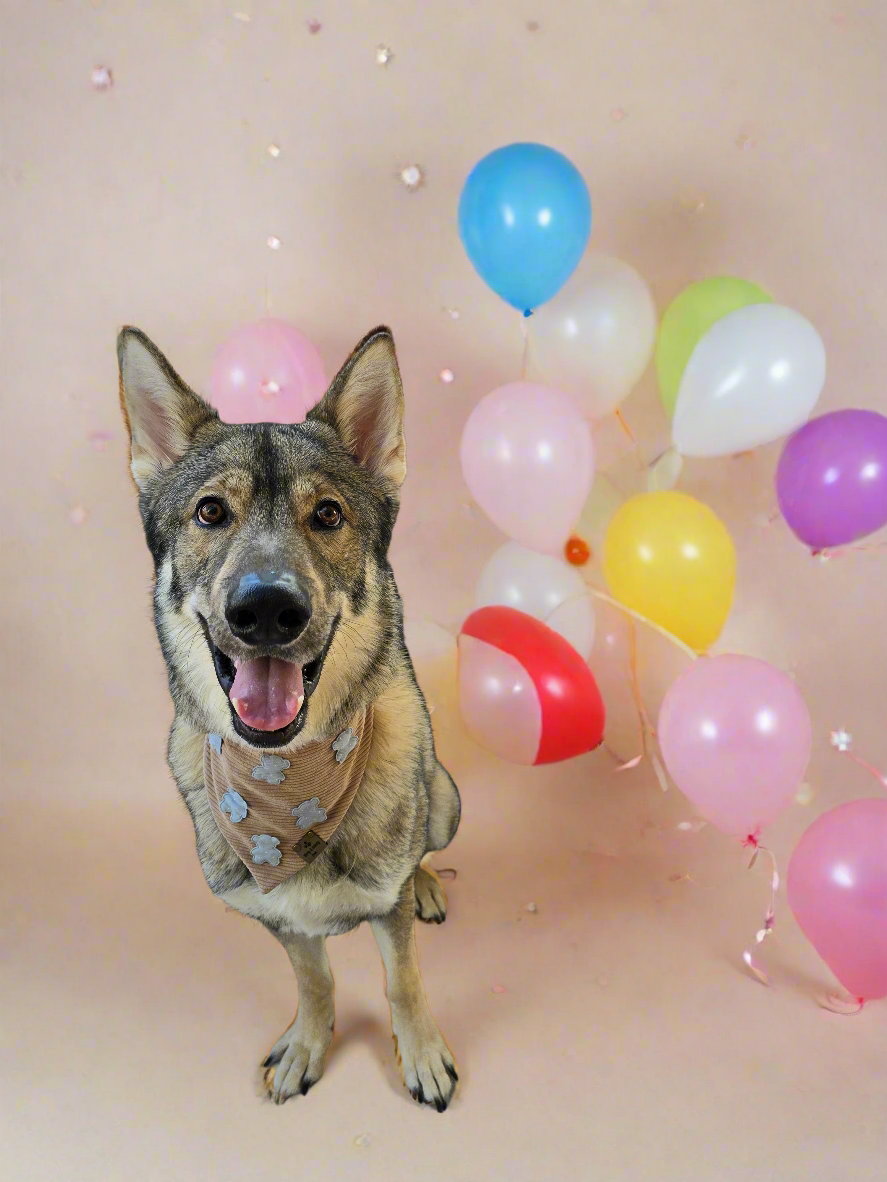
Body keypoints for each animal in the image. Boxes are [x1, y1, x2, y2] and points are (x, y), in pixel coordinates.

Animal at [118, 323, 461, 1106]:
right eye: (210, 511)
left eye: (328, 514)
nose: (267, 609)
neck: (287, 785)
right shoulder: (273, 913)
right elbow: (315, 980)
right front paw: (309, 1044)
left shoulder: (387, 910)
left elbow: (403, 981)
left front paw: (422, 1055)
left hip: (446, 797)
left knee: (424, 844)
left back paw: (427, 880)